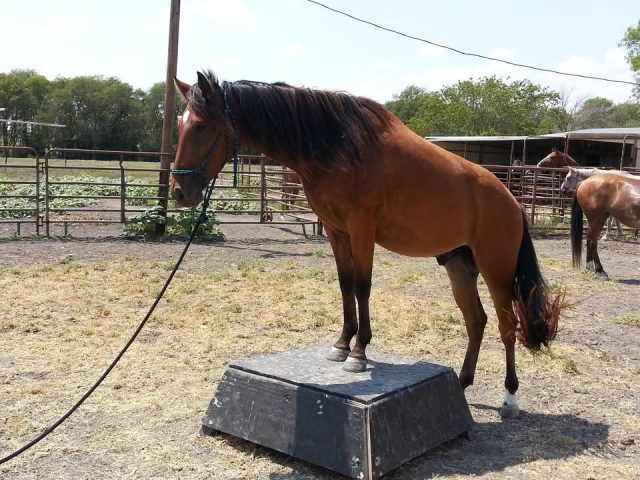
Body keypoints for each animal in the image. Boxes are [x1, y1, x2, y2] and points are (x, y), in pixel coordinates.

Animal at [170, 71, 564, 418]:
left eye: (202, 126)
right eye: (180, 125)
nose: (178, 192)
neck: (338, 145)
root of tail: (512, 202)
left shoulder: (361, 230)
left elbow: (362, 286)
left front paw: (359, 353)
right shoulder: (336, 231)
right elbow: (346, 286)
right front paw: (342, 345)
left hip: (497, 271)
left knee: (507, 326)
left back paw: (509, 398)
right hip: (459, 266)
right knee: (476, 321)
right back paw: (463, 383)